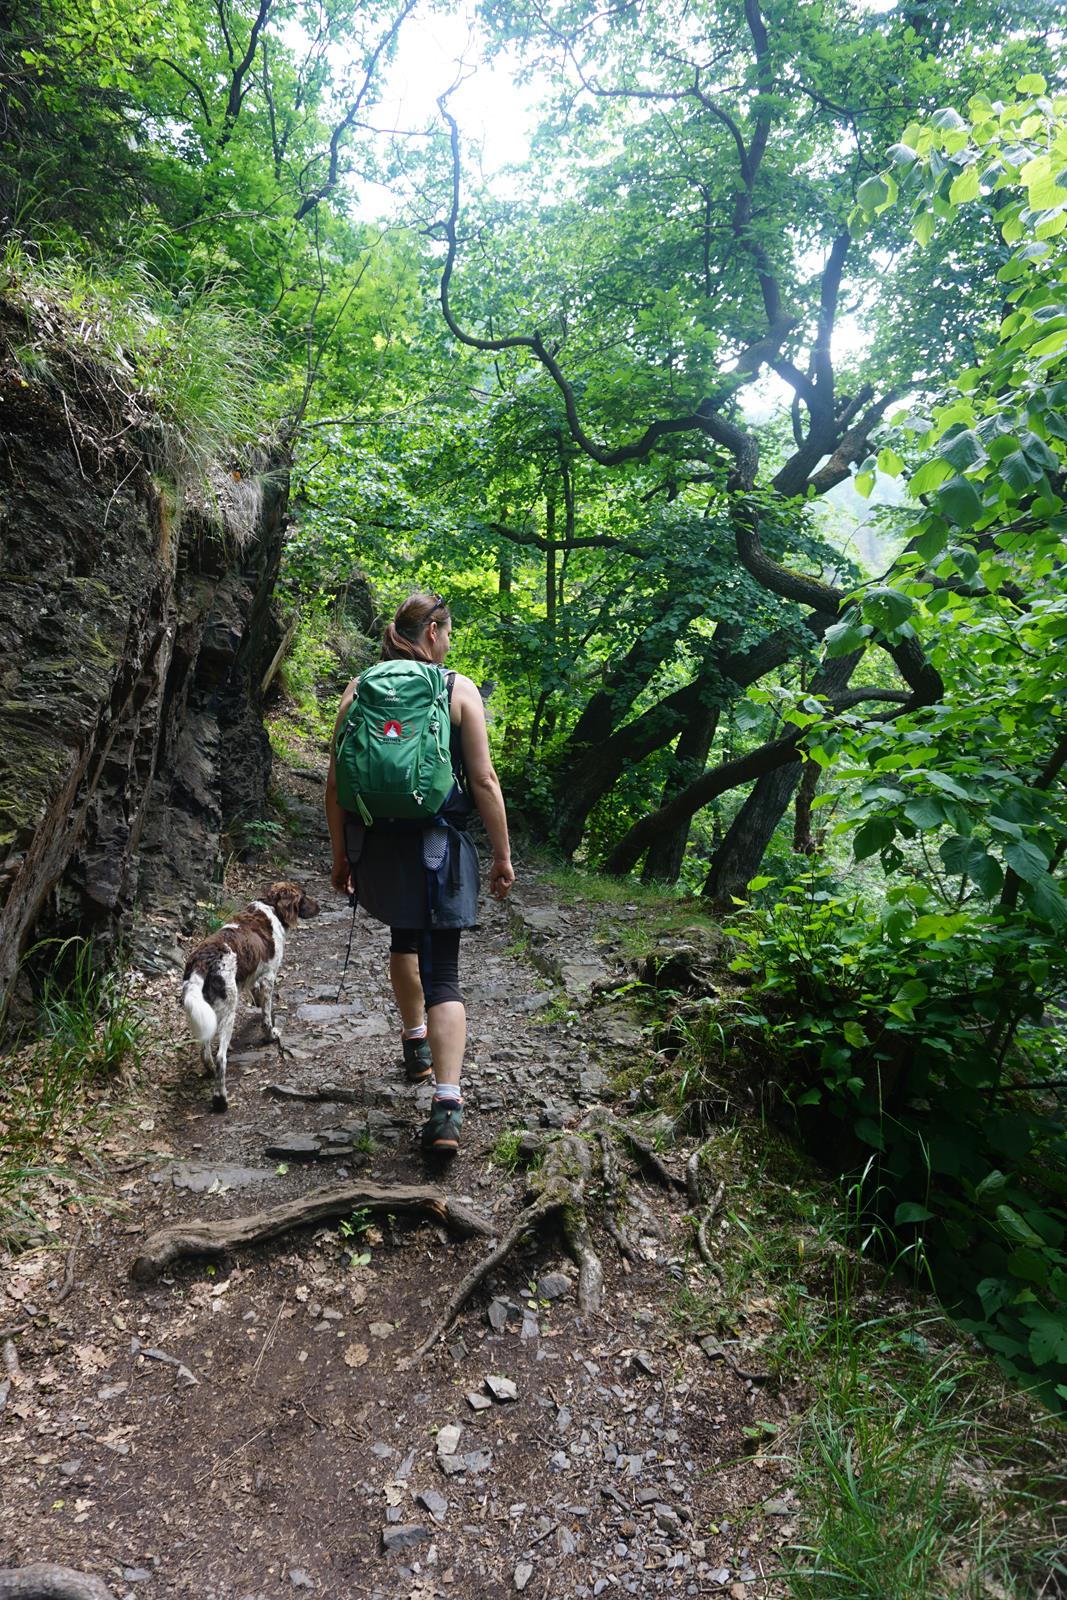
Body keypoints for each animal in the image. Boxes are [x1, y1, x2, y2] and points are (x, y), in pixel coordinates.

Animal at [179, 876, 319, 1113]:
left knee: (205, 1052)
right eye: (304, 895)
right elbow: (266, 1015)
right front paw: (270, 1035)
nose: (320, 907)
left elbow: (258, 999)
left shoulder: (255, 976)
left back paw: (209, 1073)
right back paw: (220, 1100)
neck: (272, 908)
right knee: (220, 1057)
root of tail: (203, 961)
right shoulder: (269, 977)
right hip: (228, 1010)